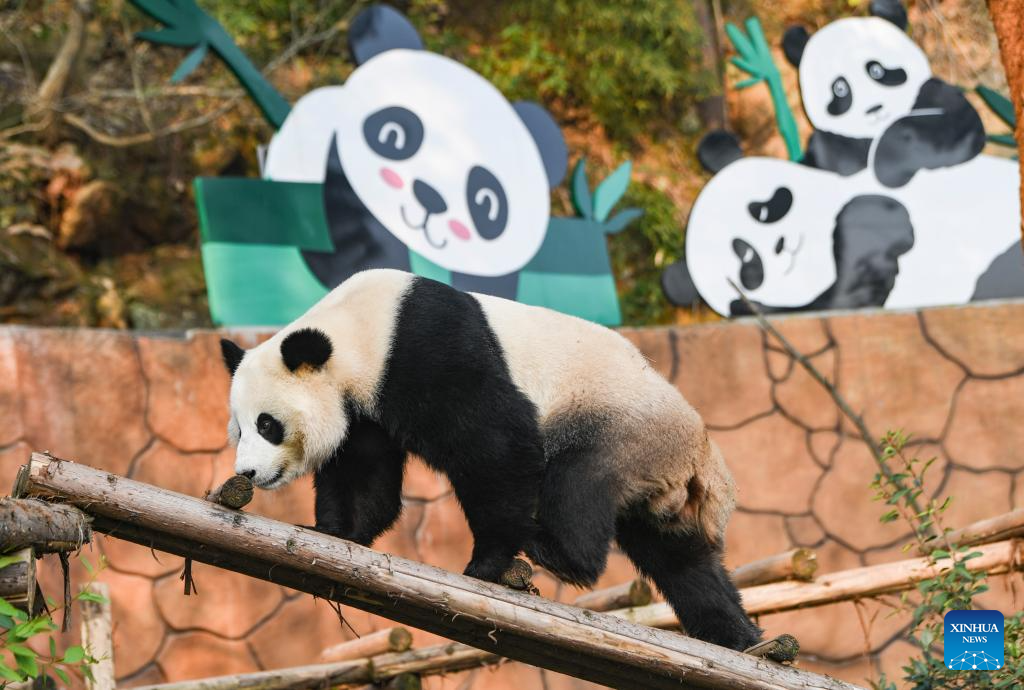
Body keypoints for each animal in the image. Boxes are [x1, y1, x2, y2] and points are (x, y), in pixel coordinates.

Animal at [218, 268, 761, 651]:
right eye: (239, 429)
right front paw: (331, 532)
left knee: (578, 483)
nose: (248, 473)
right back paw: (739, 636)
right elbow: (363, 474)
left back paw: (554, 549)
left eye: (267, 424)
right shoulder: (367, 405)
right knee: (678, 558)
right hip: (653, 472)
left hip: (618, 428)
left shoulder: (424, 350)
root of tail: (702, 459)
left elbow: (496, 441)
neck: (358, 329)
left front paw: (486, 563)